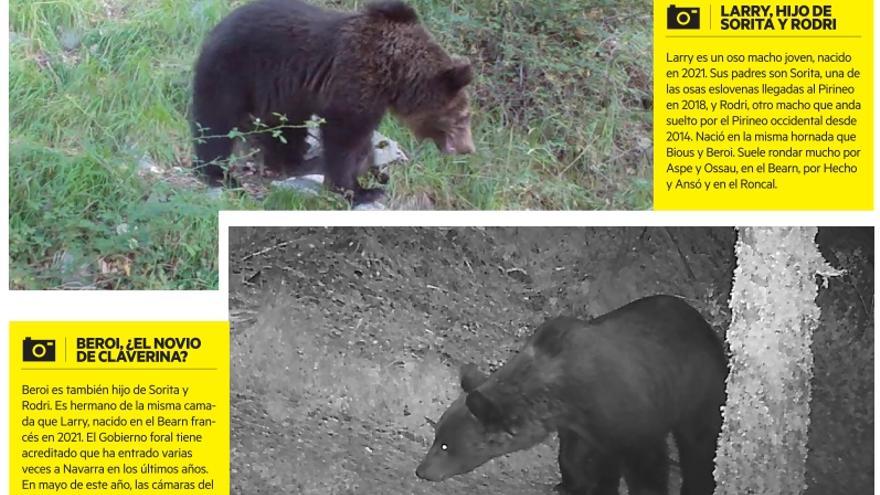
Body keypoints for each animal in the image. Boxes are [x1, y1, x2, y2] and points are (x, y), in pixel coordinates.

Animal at [191, 0, 475, 205]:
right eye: (463, 117)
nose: (468, 148)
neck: (396, 75)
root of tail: (214, 30)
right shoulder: (356, 79)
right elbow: (345, 137)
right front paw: (359, 190)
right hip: (234, 72)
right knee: (215, 123)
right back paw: (220, 175)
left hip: (282, 97)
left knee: (286, 130)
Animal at [416, 295, 727, 495]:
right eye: (436, 435)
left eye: (445, 445)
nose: (422, 470)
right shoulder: (580, 423)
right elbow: (574, 455)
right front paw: (571, 484)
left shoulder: (630, 411)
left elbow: (646, 464)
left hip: (698, 392)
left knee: (699, 446)